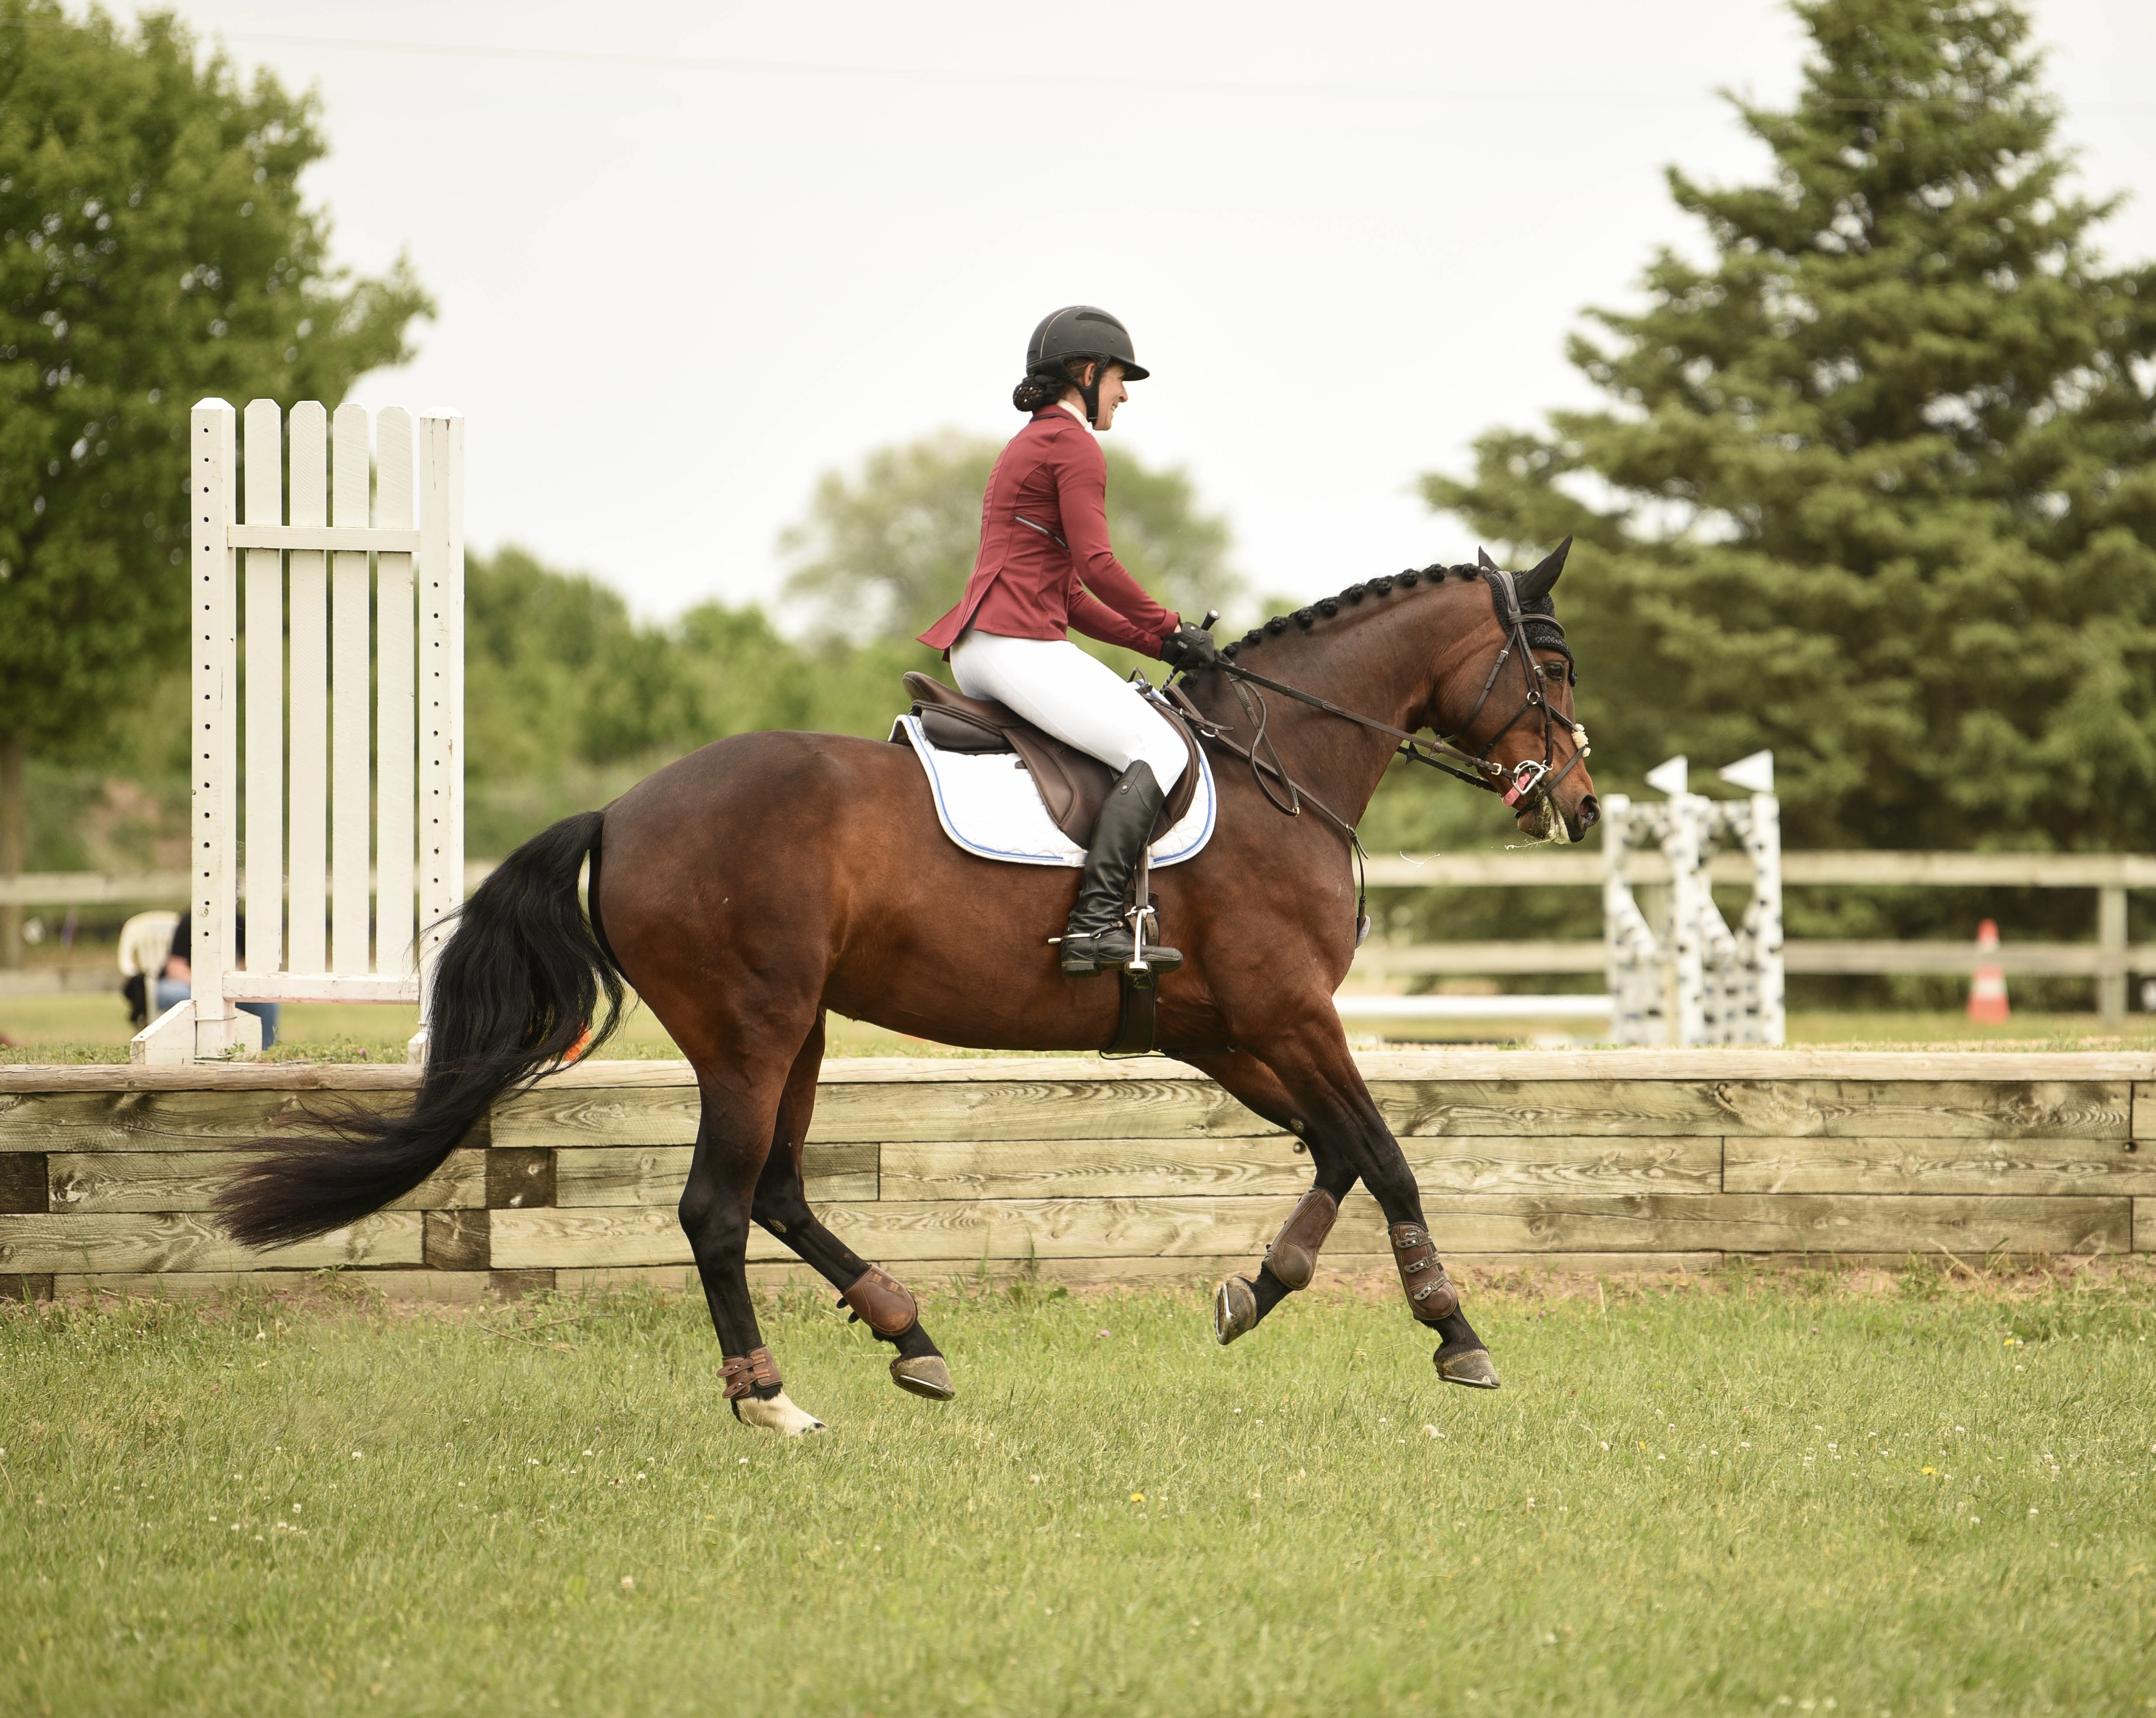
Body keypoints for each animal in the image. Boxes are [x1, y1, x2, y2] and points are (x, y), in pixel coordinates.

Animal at [218, 543, 1597, 1434]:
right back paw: (772, 1400)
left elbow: (1335, 1150)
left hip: (799, 1033)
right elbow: (1386, 1150)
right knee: (716, 1207)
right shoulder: (1289, 1012)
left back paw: (907, 1334)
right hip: (752, 1030)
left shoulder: (1228, 1031)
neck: (1281, 765)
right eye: (1554, 673)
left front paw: (1256, 1291)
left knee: (776, 1192)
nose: (1581, 805)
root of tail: (621, 809)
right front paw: (1455, 1332)